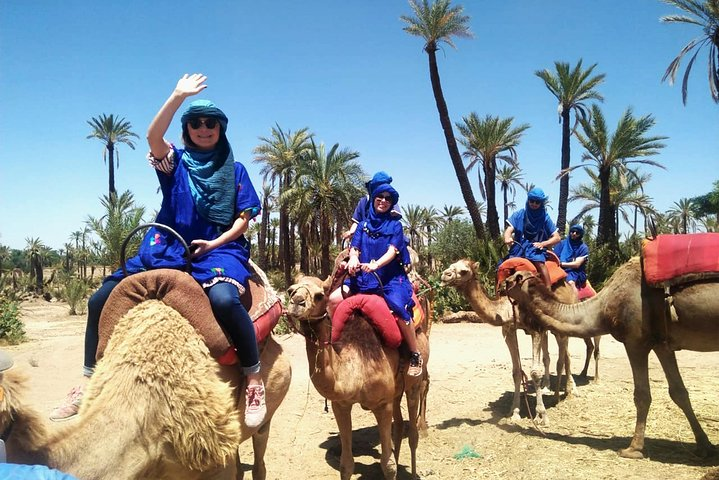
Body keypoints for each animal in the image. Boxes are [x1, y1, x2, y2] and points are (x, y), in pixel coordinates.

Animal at [286, 274, 434, 480]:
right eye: (290, 290)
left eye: (319, 295)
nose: (296, 302)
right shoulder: (340, 405)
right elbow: (346, 465)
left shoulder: (382, 404)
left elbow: (388, 465)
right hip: (396, 390)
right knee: (398, 427)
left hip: (413, 382)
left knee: (413, 433)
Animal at [438, 258, 584, 424]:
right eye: (450, 266)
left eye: (464, 271)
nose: (445, 275)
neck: (508, 307)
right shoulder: (509, 330)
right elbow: (516, 372)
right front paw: (514, 412)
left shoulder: (535, 328)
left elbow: (535, 372)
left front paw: (542, 415)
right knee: (551, 357)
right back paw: (547, 387)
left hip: (562, 325)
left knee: (565, 357)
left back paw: (567, 392)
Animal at [504, 256, 719, 460]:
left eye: (509, 280)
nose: (499, 287)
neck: (603, 306)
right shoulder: (662, 343)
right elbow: (679, 392)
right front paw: (704, 446)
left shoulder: (635, 341)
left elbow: (642, 395)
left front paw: (633, 448)